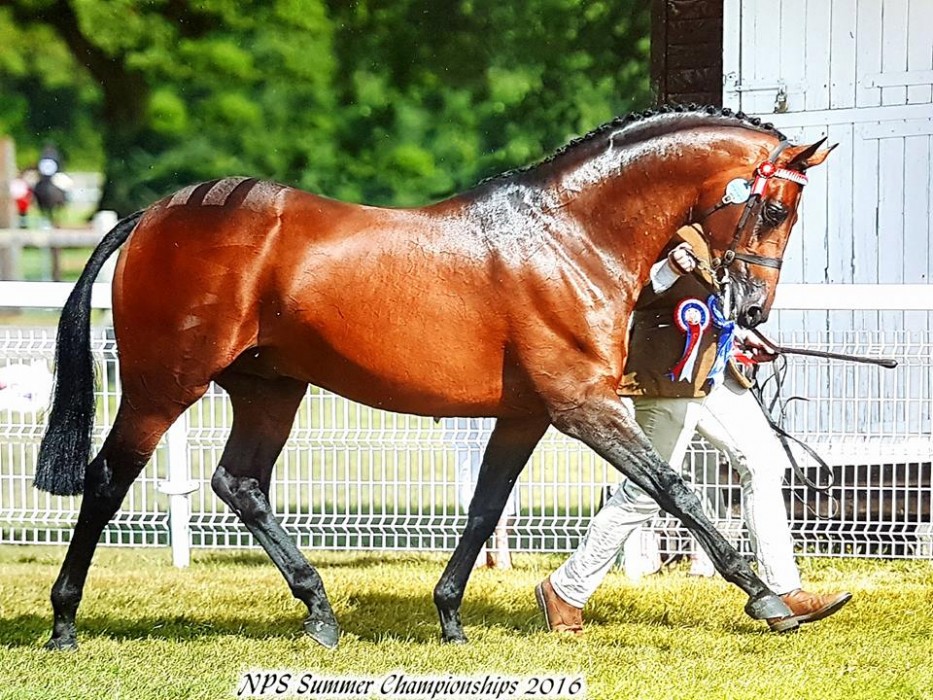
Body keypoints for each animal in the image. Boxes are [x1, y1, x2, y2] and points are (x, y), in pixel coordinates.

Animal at [34, 105, 832, 652]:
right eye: (771, 206)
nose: (751, 310)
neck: (570, 237)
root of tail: (154, 216)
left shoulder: (526, 414)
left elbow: (483, 508)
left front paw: (449, 615)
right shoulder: (581, 406)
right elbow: (674, 488)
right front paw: (765, 600)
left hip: (271, 390)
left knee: (240, 483)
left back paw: (320, 611)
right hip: (164, 385)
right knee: (108, 479)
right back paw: (64, 620)